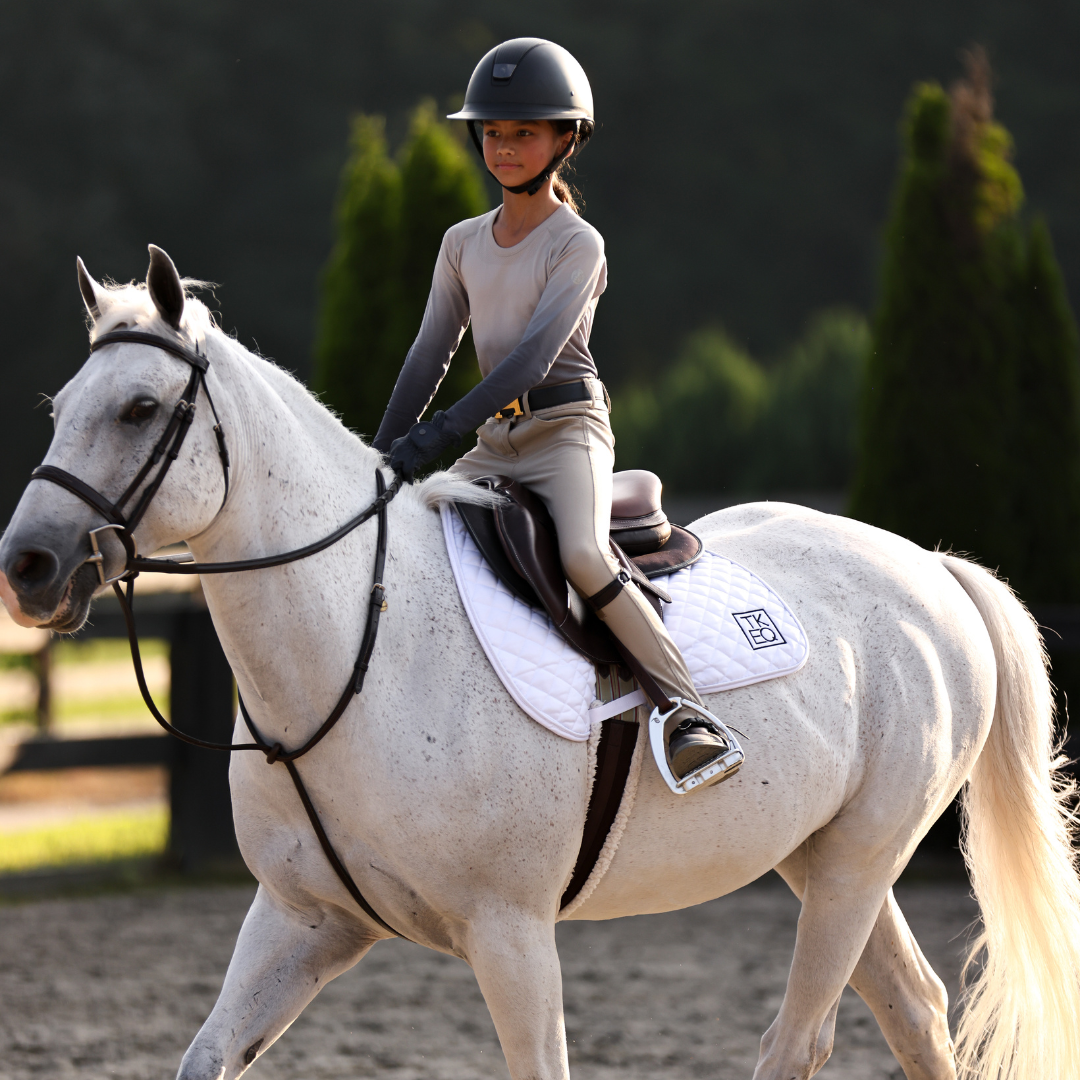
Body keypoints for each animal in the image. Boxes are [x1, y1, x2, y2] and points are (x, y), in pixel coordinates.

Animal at [2, 248, 1079, 1080]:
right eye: (60, 408)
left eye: (141, 408)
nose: (29, 567)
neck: (361, 650)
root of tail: (929, 567)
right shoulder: (301, 919)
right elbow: (206, 1056)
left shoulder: (510, 934)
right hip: (822, 860)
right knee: (917, 1008)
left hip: (859, 860)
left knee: (801, 1039)